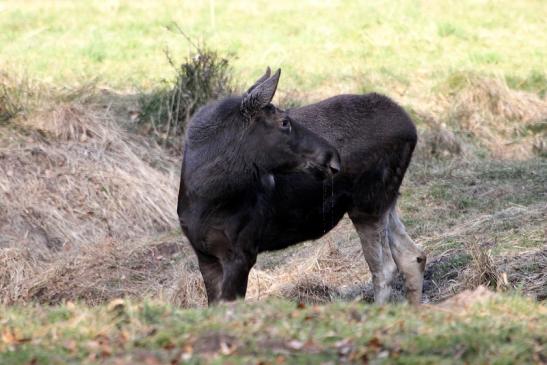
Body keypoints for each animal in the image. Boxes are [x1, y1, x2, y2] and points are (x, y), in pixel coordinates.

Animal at [178, 68, 426, 304]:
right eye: (284, 122)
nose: (333, 156)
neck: (205, 198)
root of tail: (411, 129)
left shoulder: (242, 253)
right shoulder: (205, 255)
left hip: (367, 203)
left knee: (384, 269)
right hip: (384, 200)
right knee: (413, 256)